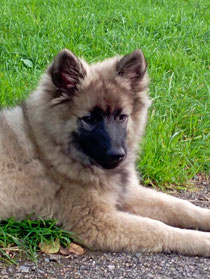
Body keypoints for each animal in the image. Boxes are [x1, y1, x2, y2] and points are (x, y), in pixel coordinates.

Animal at [0, 49, 209, 258]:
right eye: (89, 119)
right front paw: (202, 240)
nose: (117, 155)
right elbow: (157, 228)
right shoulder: (97, 221)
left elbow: (180, 206)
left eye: (121, 117)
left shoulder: (126, 192)